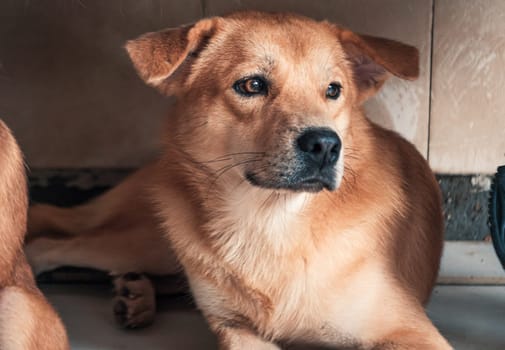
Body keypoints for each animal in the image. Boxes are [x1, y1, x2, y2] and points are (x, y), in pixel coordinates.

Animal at [25, 11, 448, 350]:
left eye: (334, 90)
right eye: (252, 85)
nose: (326, 145)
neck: (272, 225)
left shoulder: (412, 332)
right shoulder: (236, 328)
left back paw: (136, 295)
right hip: (147, 241)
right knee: (53, 240)